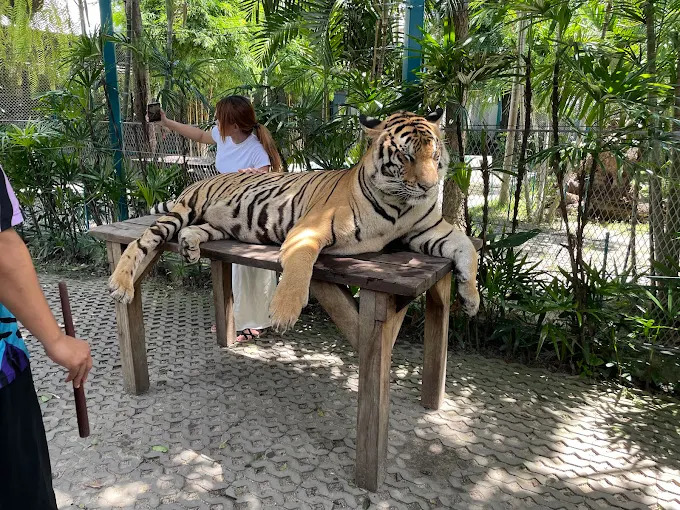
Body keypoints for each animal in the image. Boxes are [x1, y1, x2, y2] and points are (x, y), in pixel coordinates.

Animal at [108, 109, 481, 331]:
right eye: (405, 156)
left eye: (434, 154)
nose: (429, 186)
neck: (399, 206)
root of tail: (202, 179)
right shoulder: (310, 228)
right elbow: (301, 263)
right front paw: (285, 311)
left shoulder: (429, 229)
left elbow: (467, 247)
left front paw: (471, 298)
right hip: (182, 210)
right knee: (143, 241)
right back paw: (120, 284)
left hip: (218, 223)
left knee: (193, 231)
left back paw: (189, 247)